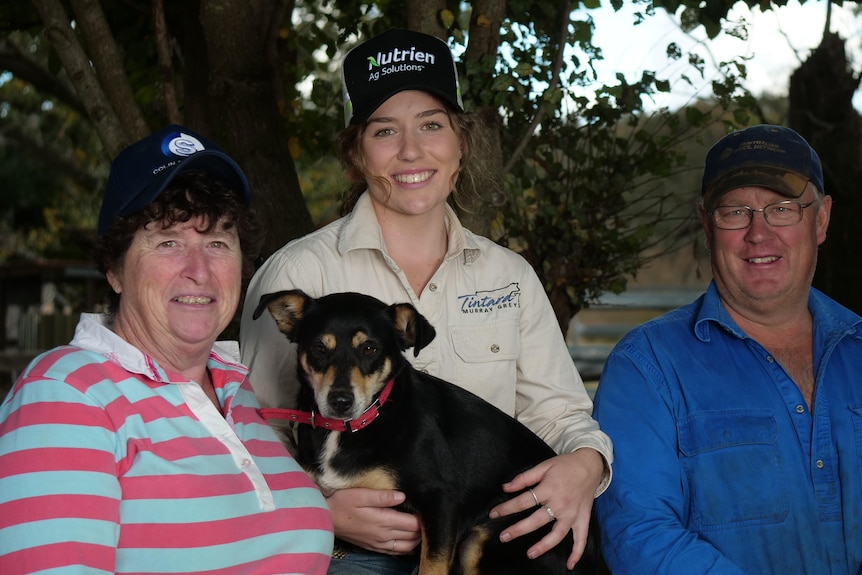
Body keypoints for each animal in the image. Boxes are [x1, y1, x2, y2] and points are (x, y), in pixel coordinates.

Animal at [253, 290, 596, 575]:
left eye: (369, 348)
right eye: (318, 348)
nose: (340, 401)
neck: (352, 427)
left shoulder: (440, 502)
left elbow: (432, 567)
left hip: (487, 535)